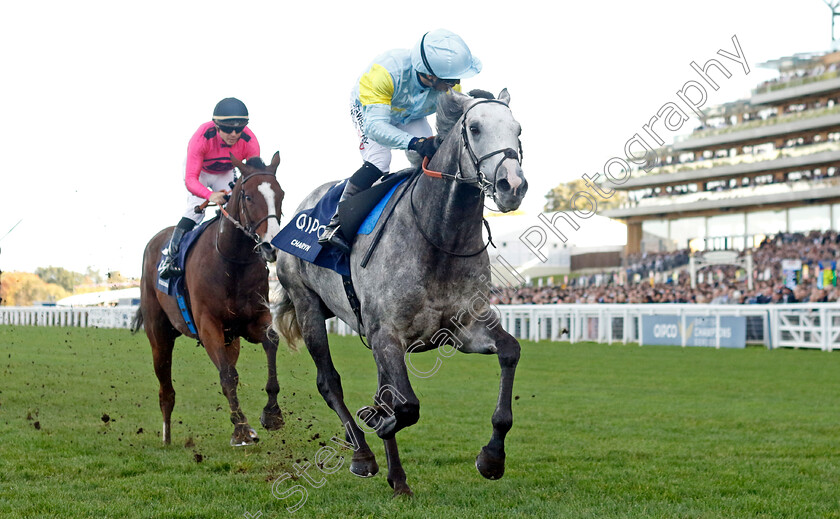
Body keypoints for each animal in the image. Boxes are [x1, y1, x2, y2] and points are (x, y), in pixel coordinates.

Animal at [131, 153, 288, 446]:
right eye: (248, 196)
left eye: (281, 194)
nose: (271, 245)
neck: (231, 263)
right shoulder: (208, 325)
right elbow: (227, 376)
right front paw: (241, 429)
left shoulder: (253, 321)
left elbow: (270, 343)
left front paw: (272, 413)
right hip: (159, 336)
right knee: (166, 388)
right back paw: (167, 437)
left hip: (231, 340)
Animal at [272, 90, 528, 500]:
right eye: (474, 128)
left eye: (518, 130)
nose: (512, 185)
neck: (439, 238)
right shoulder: (387, 334)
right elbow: (406, 406)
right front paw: (378, 421)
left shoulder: (463, 330)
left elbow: (510, 352)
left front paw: (492, 458)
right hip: (308, 305)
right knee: (329, 382)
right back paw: (364, 455)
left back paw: (398, 477)